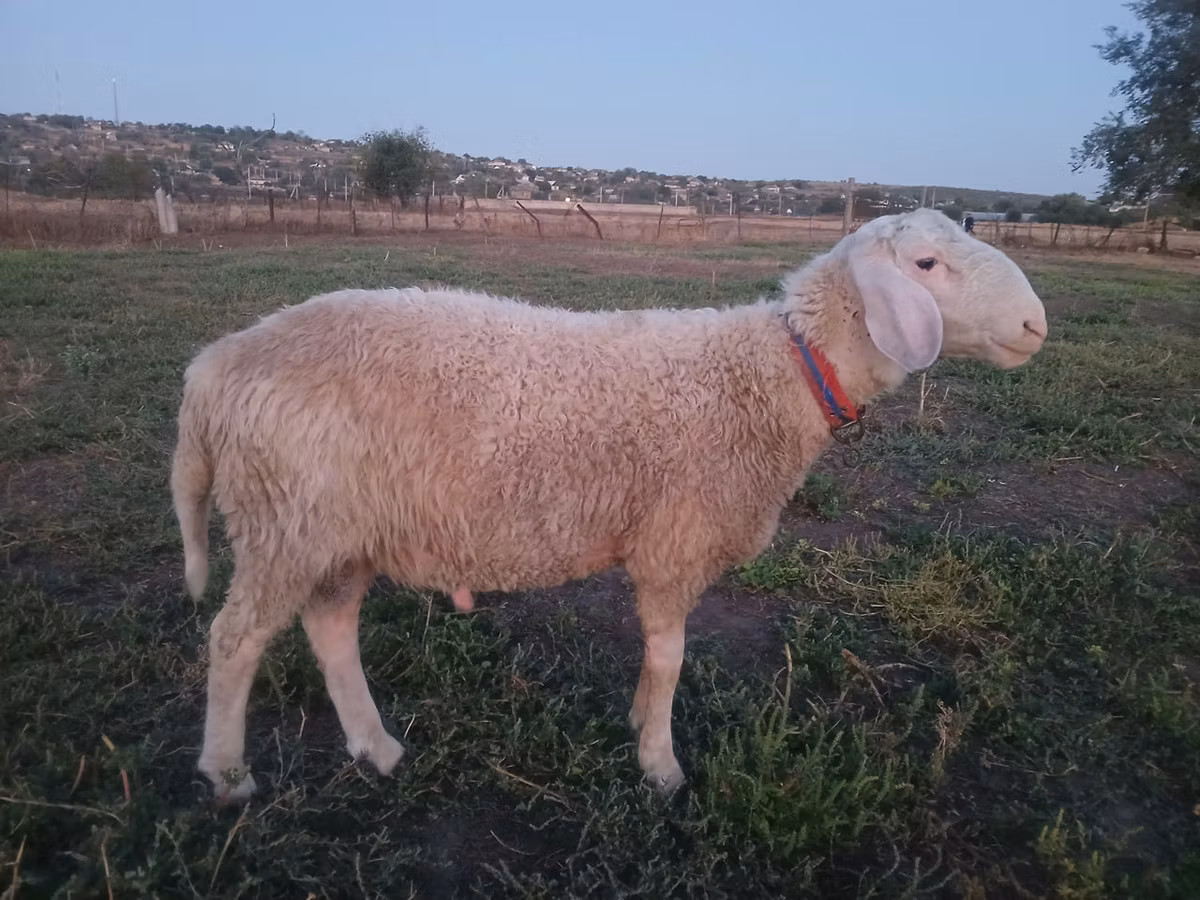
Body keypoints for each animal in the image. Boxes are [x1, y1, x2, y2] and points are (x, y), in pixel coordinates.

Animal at [172, 208, 1048, 803]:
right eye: (927, 263)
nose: (1036, 324)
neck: (776, 373)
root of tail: (213, 369)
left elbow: (657, 662)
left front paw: (636, 724)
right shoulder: (673, 541)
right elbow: (669, 657)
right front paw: (659, 762)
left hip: (333, 528)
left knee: (329, 628)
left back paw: (376, 747)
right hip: (286, 520)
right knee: (234, 639)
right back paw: (226, 772)